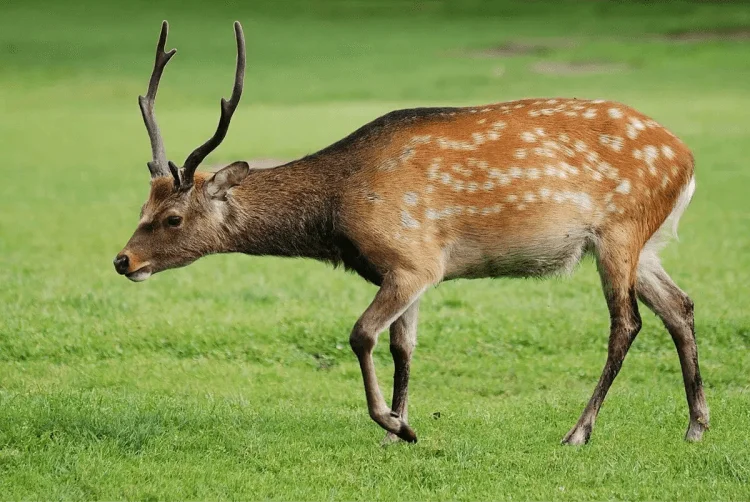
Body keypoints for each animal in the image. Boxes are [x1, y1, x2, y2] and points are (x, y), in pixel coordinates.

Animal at [113, 19, 712, 446]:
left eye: (173, 218)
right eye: (142, 204)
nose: (123, 260)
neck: (339, 211)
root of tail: (686, 159)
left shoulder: (412, 257)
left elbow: (361, 334)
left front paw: (394, 424)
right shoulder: (412, 271)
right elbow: (404, 346)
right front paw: (399, 428)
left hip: (619, 230)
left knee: (626, 323)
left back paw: (578, 432)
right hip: (644, 242)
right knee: (679, 306)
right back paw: (696, 425)